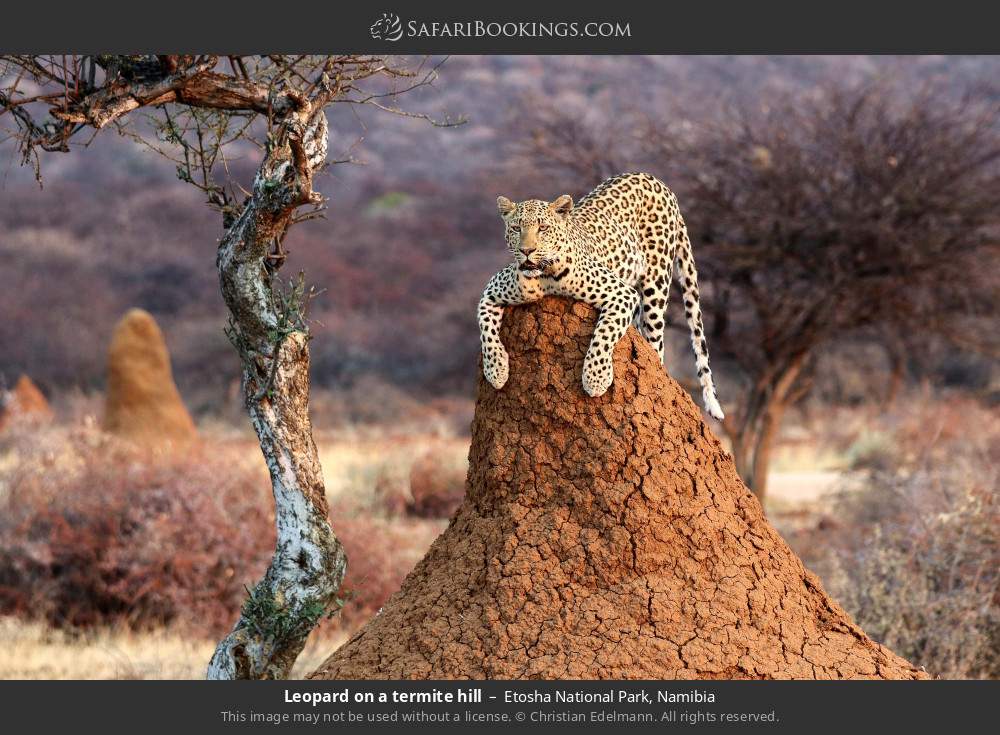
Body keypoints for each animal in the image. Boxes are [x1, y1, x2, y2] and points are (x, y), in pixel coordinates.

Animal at [477, 172, 724, 420]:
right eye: (516, 228)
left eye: (543, 227)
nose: (526, 251)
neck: (545, 276)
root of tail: (656, 181)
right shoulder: (490, 293)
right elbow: (486, 332)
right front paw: (496, 371)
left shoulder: (622, 294)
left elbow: (604, 334)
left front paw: (595, 379)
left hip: (656, 285)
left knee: (657, 345)